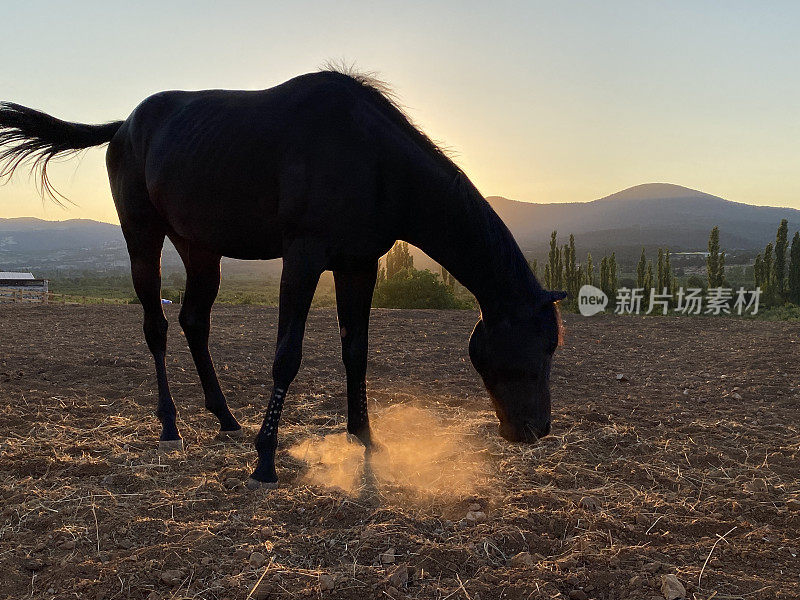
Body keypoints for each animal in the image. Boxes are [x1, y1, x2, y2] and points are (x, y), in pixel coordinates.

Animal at [0, 69, 564, 488]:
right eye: (537, 346)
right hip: (144, 238)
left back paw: (226, 418)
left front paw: (364, 437)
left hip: (199, 247)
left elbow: (356, 350)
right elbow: (287, 355)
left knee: (194, 321)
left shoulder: (358, 265)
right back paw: (170, 425)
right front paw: (266, 460)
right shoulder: (304, 258)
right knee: (156, 327)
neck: (372, 157)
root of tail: (124, 126)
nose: (536, 430)